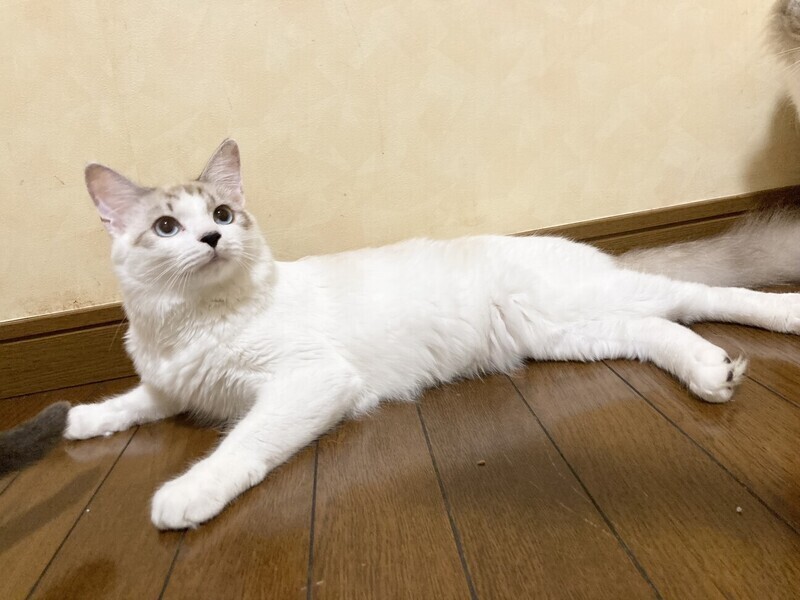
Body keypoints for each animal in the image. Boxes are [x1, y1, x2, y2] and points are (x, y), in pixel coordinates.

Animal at [65, 139, 800, 530]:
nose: (213, 240)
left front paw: (188, 493)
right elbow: (132, 403)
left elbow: (242, 443)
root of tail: (593, 254)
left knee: (702, 296)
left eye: (221, 214)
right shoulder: (171, 384)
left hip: (592, 301)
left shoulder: (308, 380)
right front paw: (78, 420)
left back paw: (786, 316)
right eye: (166, 227)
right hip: (572, 331)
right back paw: (710, 373)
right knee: (661, 328)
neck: (192, 320)